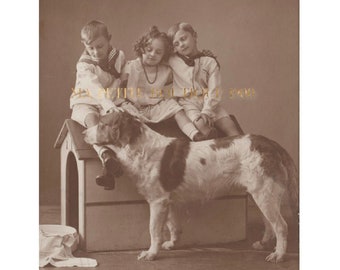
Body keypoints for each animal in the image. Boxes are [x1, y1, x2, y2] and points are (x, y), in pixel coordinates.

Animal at [83, 110, 298, 262]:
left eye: (102, 124)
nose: (84, 132)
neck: (140, 146)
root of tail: (271, 144)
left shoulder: (157, 201)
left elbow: (154, 229)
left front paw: (151, 253)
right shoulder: (168, 201)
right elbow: (172, 225)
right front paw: (172, 243)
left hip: (264, 194)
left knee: (281, 225)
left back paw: (278, 255)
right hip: (261, 194)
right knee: (269, 224)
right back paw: (263, 244)